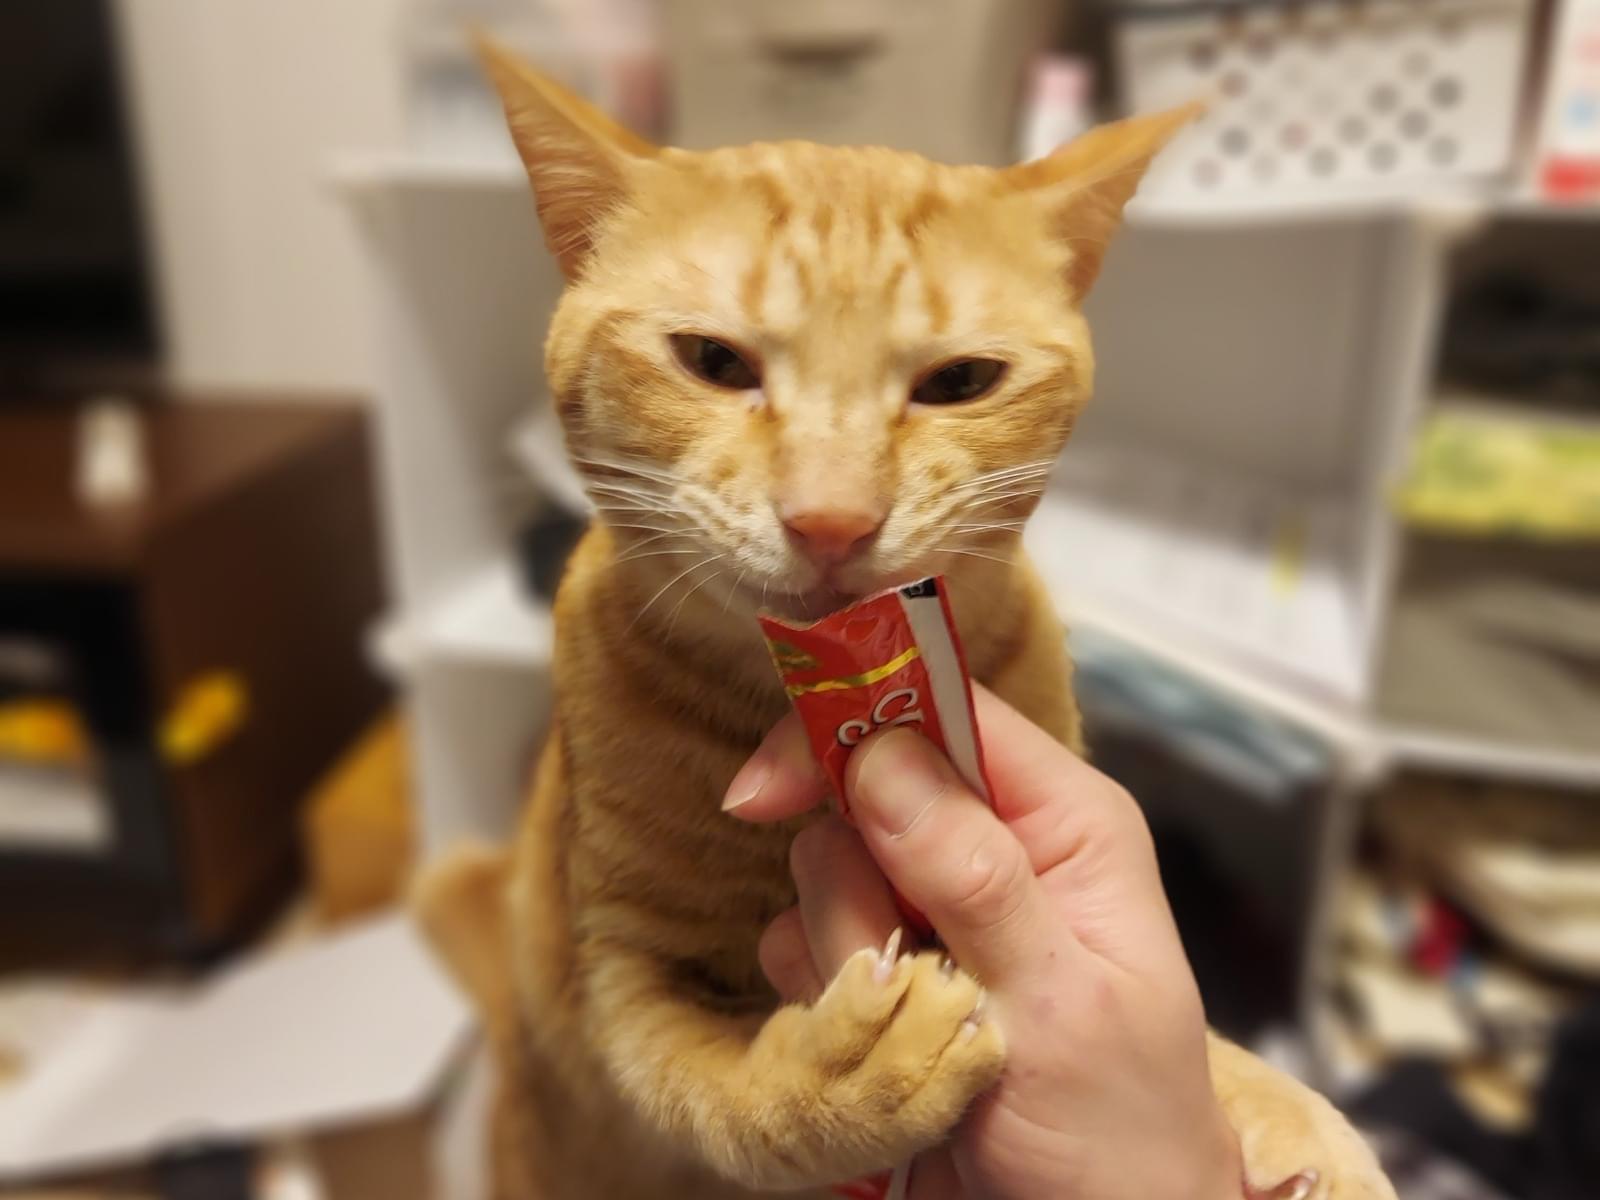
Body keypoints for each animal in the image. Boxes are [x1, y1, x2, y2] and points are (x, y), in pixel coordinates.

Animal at [415, 35, 1397, 1200]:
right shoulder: (618, 966)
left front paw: (1285, 1107)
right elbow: (713, 1095)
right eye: (713, 362)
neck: (780, 705)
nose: (833, 520)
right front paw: (843, 1072)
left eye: (961, 380)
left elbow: (1189, 1038)